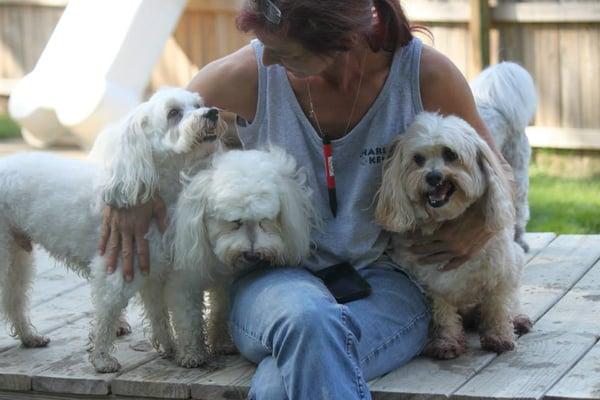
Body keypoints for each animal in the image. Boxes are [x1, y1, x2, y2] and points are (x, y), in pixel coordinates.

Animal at [0, 87, 226, 372]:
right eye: (173, 113)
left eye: (197, 105)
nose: (212, 113)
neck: (151, 192)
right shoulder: (116, 271)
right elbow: (106, 316)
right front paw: (101, 360)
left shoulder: (152, 270)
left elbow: (159, 313)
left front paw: (170, 347)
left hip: (17, 257)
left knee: (14, 300)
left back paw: (30, 336)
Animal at [378, 111, 532, 360]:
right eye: (418, 159)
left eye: (450, 154)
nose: (433, 176)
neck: (444, 220)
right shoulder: (432, 286)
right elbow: (444, 315)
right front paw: (447, 342)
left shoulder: (500, 273)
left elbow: (498, 307)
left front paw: (499, 336)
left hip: (516, 260)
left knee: (512, 301)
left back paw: (518, 319)